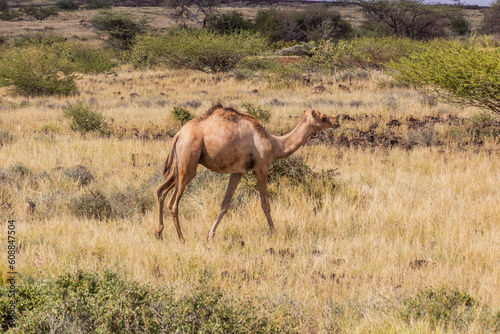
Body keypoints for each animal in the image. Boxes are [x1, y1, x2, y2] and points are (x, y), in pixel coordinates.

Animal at [155, 104, 340, 243]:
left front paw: (210, 234)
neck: (275, 144)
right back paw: (181, 238)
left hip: (179, 165)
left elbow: (225, 203)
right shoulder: (261, 167)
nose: (336, 120)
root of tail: (178, 135)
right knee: (173, 202)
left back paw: (159, 233)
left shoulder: (238, 171)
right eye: (323, 117)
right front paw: (274, 231)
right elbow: (265, 203)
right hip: (188, 161)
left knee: (160, 190)